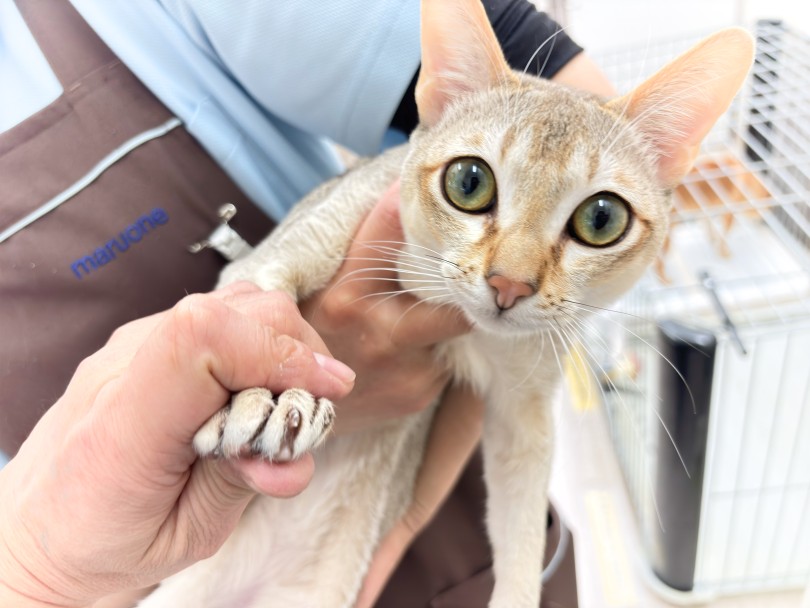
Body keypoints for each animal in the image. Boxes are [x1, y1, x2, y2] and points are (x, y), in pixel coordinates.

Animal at [138, 0, 753, 606]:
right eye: (469, 182)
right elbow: (264, 305)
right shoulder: (283, 248)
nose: (510, 284)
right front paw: (270, 401)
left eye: (601, 219)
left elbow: (523, 532)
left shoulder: (524, 412)